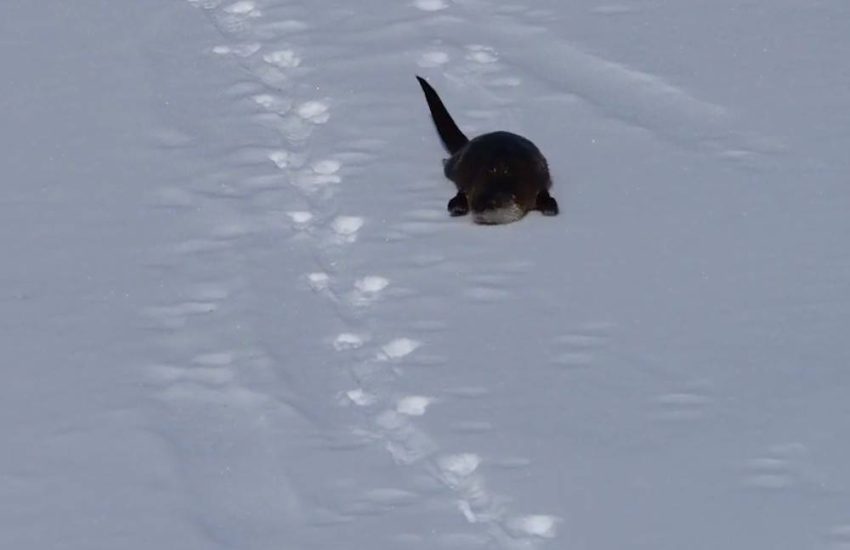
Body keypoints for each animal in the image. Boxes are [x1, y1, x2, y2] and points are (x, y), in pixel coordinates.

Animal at [416, 76, 558, 225]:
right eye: (474, 203)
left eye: (492, 204)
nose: (477, 210)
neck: (503, 173)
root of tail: (467, 144)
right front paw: (457, 208)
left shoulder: (534, 181)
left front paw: (549, 209)